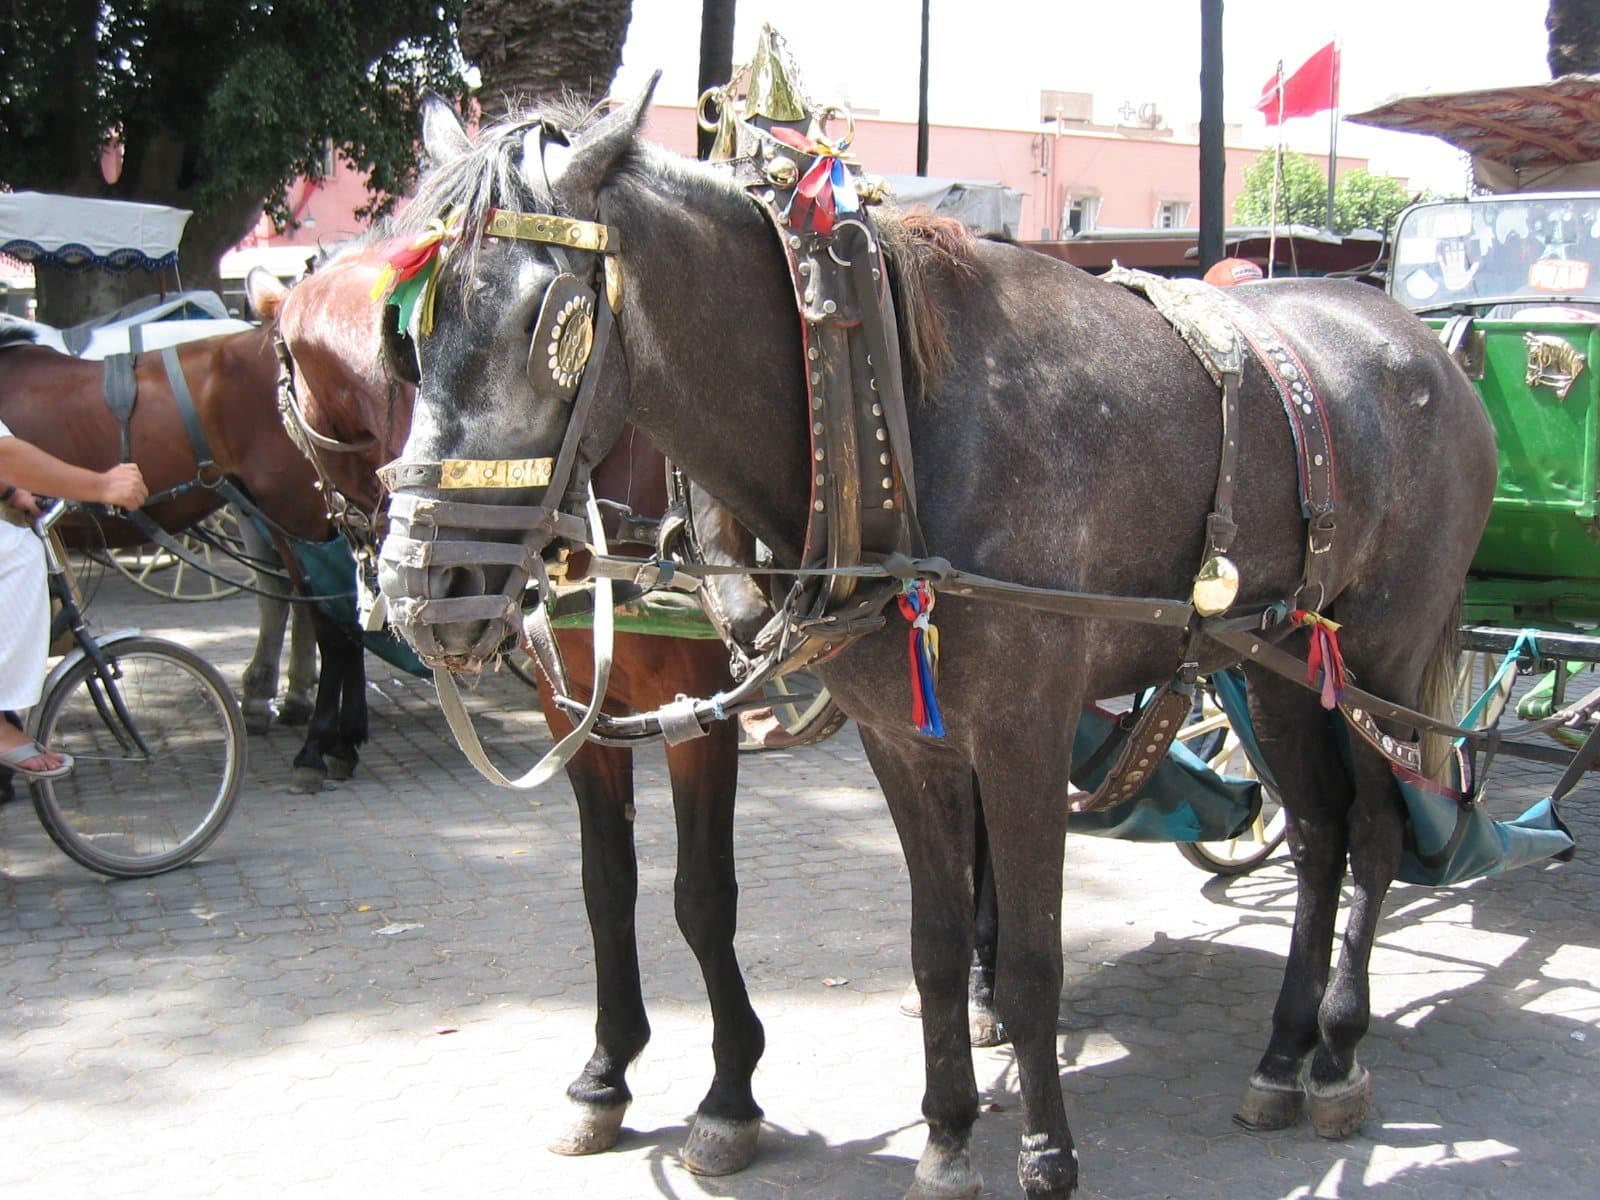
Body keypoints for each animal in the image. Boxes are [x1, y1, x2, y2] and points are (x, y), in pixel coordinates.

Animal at [247, 249, 772, 1174]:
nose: (379, 562)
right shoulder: (579, 721)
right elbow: (607, 885)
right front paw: (604, 1073)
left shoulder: (697, 714)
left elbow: (703, 898)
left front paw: (729, 1093)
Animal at [371, 87, 1498, 1200]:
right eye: (407, 338)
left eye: (545, 323)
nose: (418, 586)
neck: (882, 415)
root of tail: (1415, 338)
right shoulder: (901, 741)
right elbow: (933, 943)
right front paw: (950, 1136)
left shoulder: (1023, 736)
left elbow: (1035, 959)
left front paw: (1044, 1155)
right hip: (1277, 661)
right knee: (1315, 837)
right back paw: (1282, 1052)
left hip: (1382, 657)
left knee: (1375, 832)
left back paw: (1337, 1052)